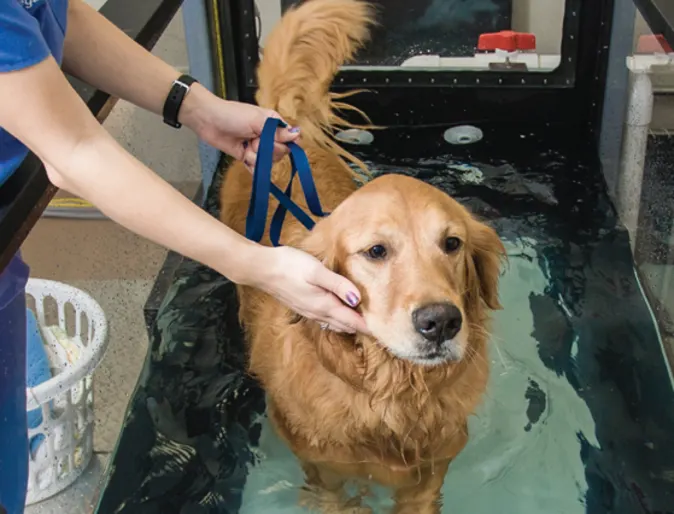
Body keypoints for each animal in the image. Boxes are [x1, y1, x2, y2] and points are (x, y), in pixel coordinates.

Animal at [219, 2, 504, 510]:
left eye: (452, 244)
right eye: (376, 251)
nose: (441, 322)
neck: (394, 394)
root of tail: (279, 124)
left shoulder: (436, 464)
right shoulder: (321, 465)